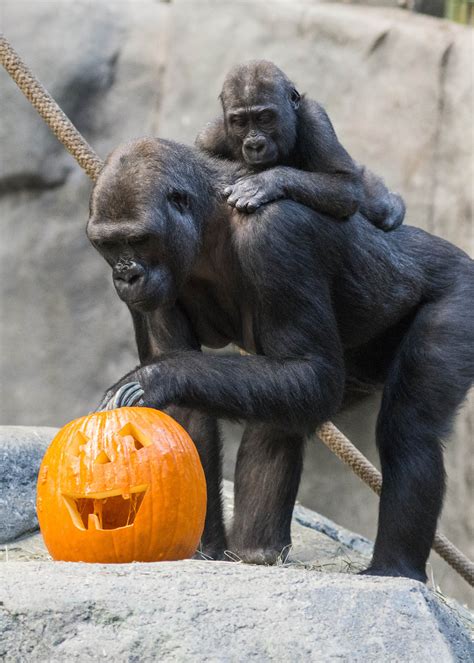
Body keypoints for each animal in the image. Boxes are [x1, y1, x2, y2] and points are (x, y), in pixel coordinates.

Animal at [86, 136, 474, 580]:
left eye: (138, 239)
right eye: (108, 244)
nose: (126, 275)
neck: (210, 221)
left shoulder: (275, 234)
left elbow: (309, 369)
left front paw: (157, 377)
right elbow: (186, 416)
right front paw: (201, 547)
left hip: (461, 293)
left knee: (408, 430)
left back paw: (393, 568)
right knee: (284, 406)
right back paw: (258, 551)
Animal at [196, 60, 404, 231]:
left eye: (265, 118)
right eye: (240, 122)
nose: (255, 145)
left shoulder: (315, 118)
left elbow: (346, 184)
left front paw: (266, 181)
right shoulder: (209, 137)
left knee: (380, 208)